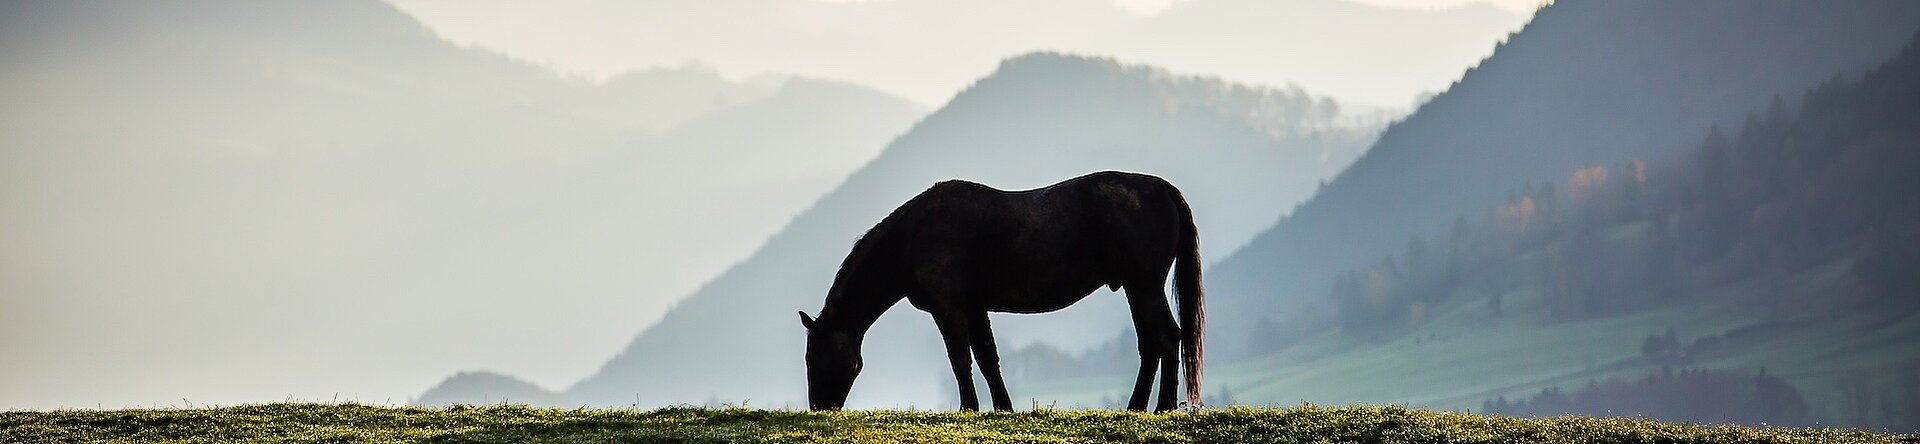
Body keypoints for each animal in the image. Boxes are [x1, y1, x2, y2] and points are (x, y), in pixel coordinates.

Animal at [794, 171, 1198, 413]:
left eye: (814, 358)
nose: (819, 408)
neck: (914, 238)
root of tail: (1163, 189)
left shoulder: (949, 308)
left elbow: (960, 358)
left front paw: (968, 409)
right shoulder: (974, 307)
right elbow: (988, 358)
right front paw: (1003, 408)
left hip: (1143, 286)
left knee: (1167, 337)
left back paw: (1163, 406)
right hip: (1135, 289)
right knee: (1151, 346)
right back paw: (1136, 407)